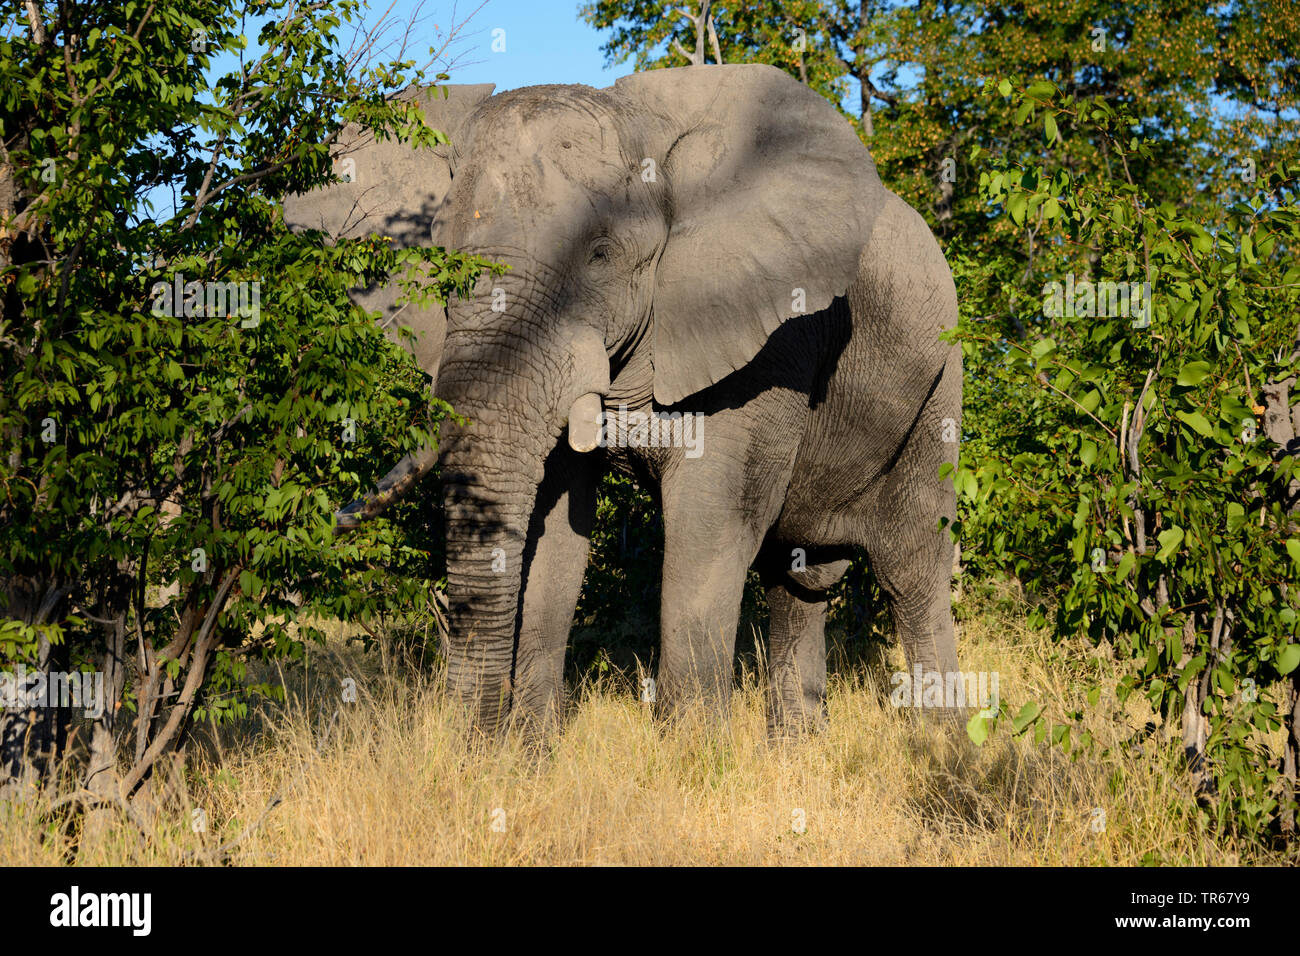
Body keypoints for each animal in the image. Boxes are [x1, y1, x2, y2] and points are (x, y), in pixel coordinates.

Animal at [289, 67, 961, 738]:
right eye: (440, 254)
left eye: (601, 255)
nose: (467, 745)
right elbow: (558, 529)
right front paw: (529, 750)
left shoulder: (768, 346)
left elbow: (708, 530)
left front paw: (696, 751)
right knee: (797, 578)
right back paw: (797, 747)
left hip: (939, 386)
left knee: (911, 569)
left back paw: (943, 744)